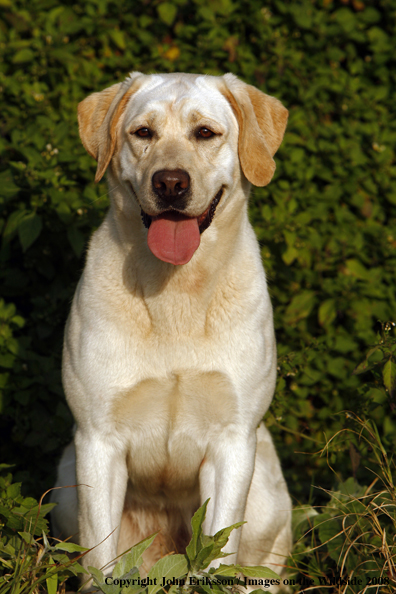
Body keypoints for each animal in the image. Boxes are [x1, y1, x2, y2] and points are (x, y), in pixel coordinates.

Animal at [51, 70, 292, 588]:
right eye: (143, 132)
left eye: (205, 133)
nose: (170, 183)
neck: (175, 293)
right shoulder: (97, 441)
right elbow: (99, 563)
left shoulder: (231, 443)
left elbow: (216, 558)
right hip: (65, 484)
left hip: (266, 496)